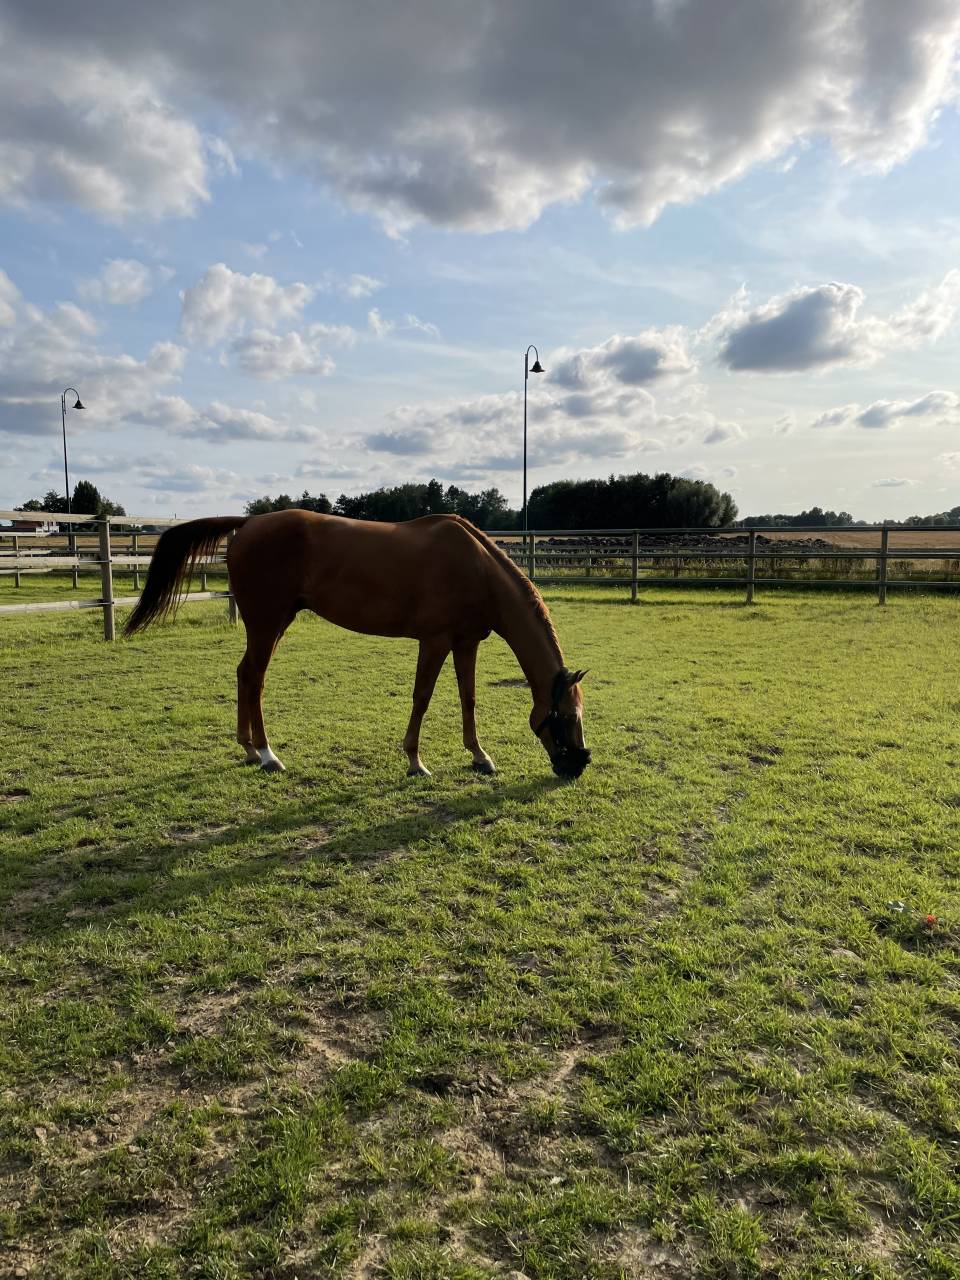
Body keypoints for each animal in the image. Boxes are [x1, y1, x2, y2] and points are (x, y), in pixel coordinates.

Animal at [124, 511, 591, 780]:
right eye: (567, 717)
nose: (577, 767)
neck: (477, 567)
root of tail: (247, 523)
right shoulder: (435, 641)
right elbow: (422, 697)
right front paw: (415, 762)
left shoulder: (465, 641)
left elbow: (469, 698)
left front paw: (479, 756)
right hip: (266, 622)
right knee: (254, 678)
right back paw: (268, 754)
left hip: (275, 623)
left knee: (245, 675)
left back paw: (249, 749)